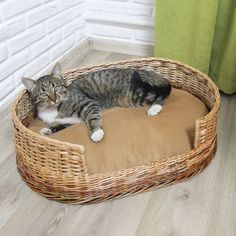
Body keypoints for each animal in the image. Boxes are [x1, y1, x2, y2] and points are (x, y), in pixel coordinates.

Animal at [21, 62, 171, 142]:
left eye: (56, 88)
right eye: (43, 93)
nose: (53, 99)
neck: (53, 109)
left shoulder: (89, 104)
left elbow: (92, 118)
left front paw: (96, 133)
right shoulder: (69, 122)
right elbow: (59, 125)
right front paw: (47, 130)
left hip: (134, 96)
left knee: (161, 98)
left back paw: (154, 109)